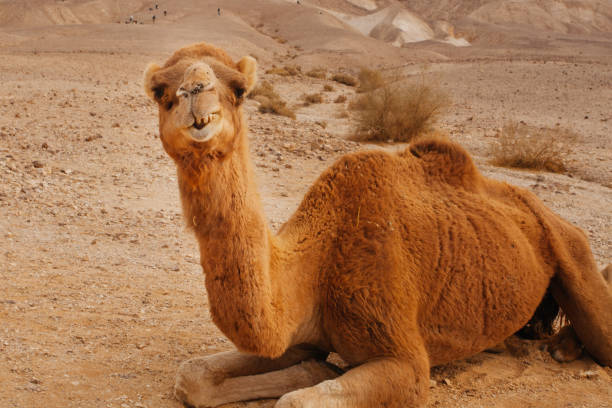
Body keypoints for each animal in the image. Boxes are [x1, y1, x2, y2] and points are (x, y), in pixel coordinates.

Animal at [143, 43, 612, 406]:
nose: (195, 93)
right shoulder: (302, 331)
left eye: (239, 89)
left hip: (570, 247)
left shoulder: (405, 358)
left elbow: (296, 401)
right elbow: (192, 376)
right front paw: (314, 369)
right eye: (160, 91)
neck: (318, 263)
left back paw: (565, 348)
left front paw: (314, 376)